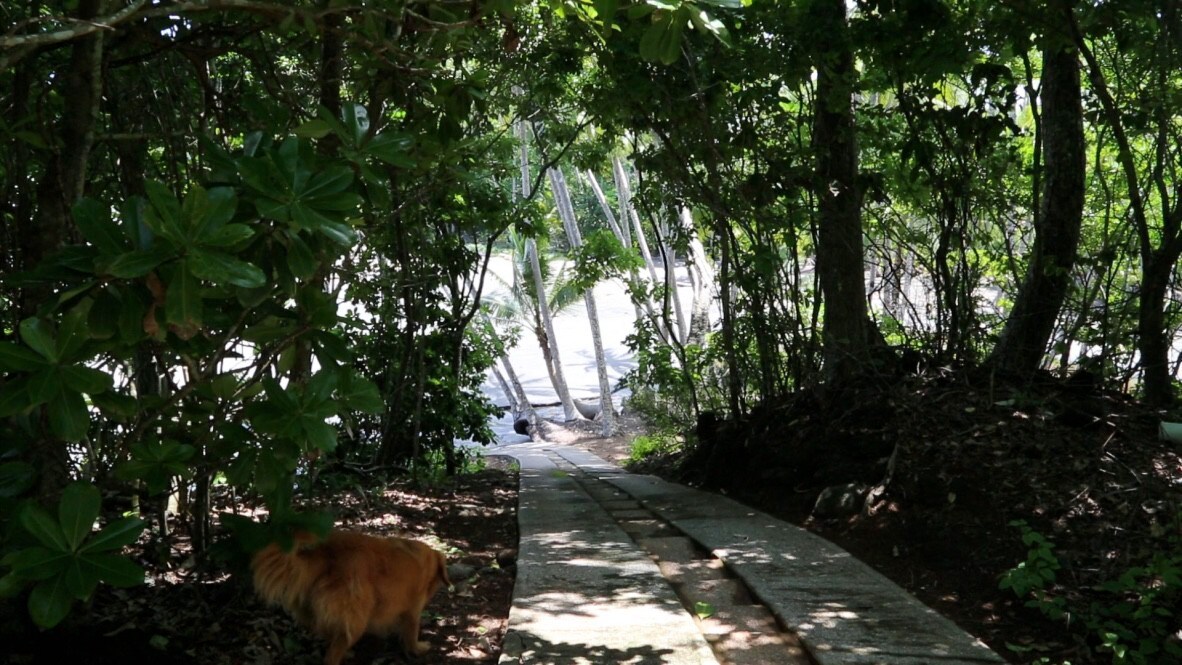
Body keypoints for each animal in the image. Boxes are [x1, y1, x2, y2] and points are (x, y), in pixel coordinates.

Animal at [251, 531, 449, 665]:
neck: (428, 560)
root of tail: (328, 558)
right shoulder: (413, 611)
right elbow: (411, 633)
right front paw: (417, 649)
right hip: (358, 619)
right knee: (332, 655)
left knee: (333, 636)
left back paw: (345, 652)